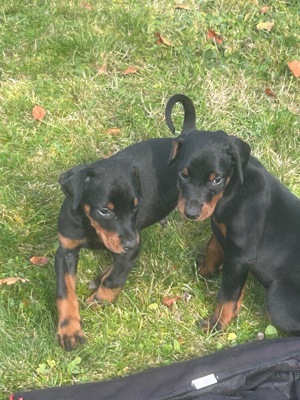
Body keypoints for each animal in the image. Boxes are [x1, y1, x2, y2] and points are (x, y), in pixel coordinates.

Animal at [54, 96, 197, 350]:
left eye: (135, 207)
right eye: (104, 210)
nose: (131, 244)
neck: (91, 227)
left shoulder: (132, 244)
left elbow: (115, 280)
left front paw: (98, 301)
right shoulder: (66, 250)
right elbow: (65, 291)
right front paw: (69, 331)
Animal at [166, 94, 300, 334]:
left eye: (217, 179)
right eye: (183, 174)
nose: (191, 213)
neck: (233, 189)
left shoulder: (240, 255)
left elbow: (227, 296)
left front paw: (217, 324)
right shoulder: (223, 233)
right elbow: (213, 248)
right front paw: (205, 271)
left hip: (278, 301)